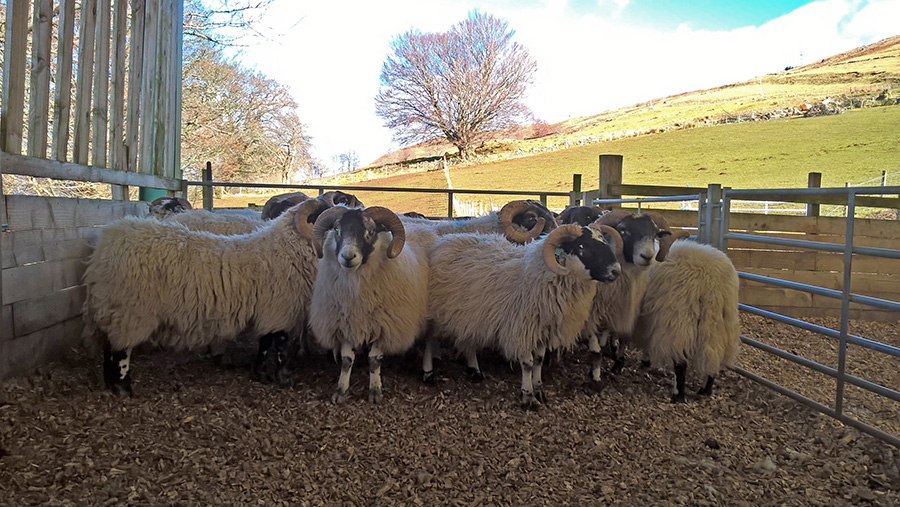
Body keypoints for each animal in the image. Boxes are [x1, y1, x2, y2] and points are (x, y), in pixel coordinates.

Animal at [83, 199, 330, 396]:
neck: (285, 248)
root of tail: (108, 241)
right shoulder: (279, 309)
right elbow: (278, 344)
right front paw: (282, 377)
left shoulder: (271, 311)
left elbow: (265, 343)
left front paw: (260, 373)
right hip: (131, 311)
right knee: (121, 351)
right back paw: (124, 388)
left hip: (114, 310)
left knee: (108, 347)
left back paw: (109, 384)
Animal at [310, 205, 436, 404]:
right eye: (337, 229)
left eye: (370, 231)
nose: (347, 257)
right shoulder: (345, 323)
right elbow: (346, 360)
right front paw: (341, 391)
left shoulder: (384, 325)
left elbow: (375, 360)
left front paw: (375, 392)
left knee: (430, 339)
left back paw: (427, 371)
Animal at [424, 222, 624, 408]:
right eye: (582, 246)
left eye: (605, 241)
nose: (616, 271)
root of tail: (445, 240)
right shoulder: (523, 329)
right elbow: (527, 364)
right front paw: (528, 397)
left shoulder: (543, 330)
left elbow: (539, 361)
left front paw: (539, 390)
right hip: (438, 312)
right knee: (430, 339)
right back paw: (429, 371)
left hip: (468, 313)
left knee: (468, 339)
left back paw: (474, 370)